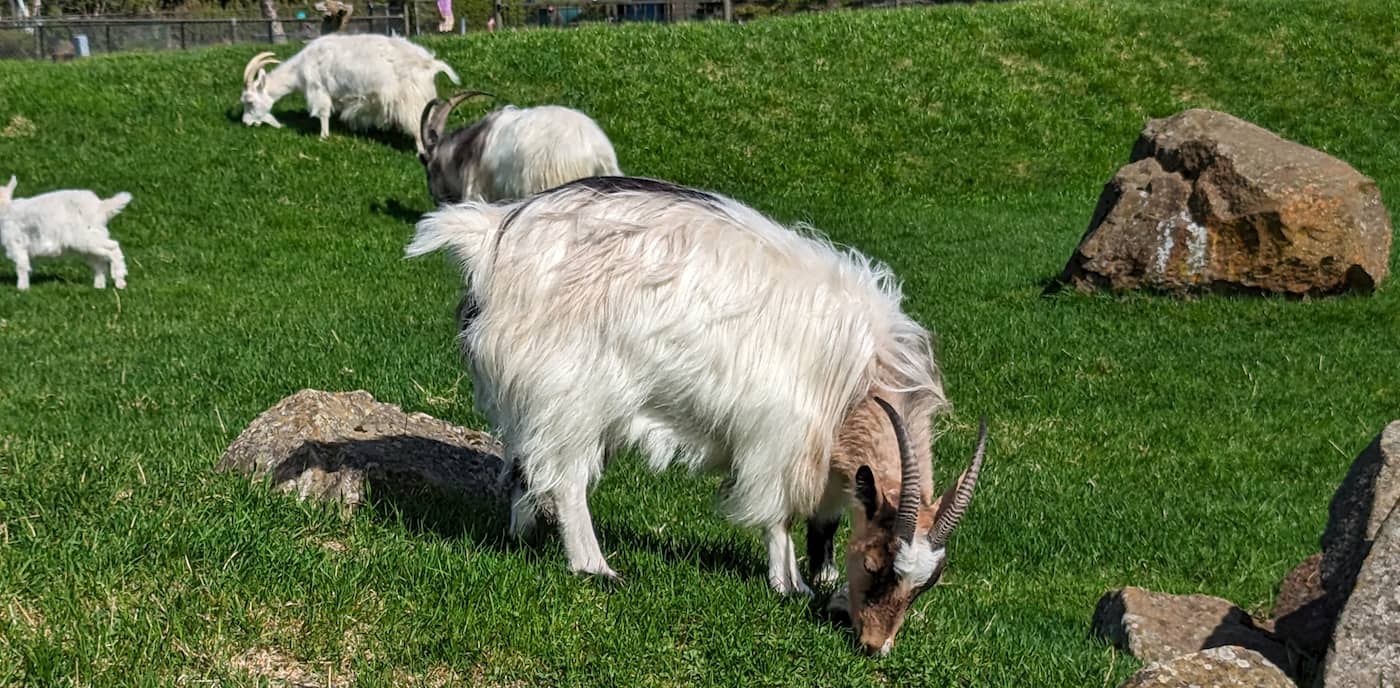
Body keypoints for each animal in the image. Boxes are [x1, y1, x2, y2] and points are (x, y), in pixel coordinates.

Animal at [0, 176, 131, 292]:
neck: (5, 209)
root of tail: (101, 207)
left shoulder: (16, 244)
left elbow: (21, 266)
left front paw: (22, 288)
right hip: (91, 241)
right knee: (99, 261)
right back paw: (99, 286)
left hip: (86, 238)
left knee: (113, 247)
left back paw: (120, 281)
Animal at [239, 32, 459, 153]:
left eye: (249, 101)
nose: (245, 123)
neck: (301, 65)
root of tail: (429, 63)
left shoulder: (319, 89)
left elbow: (323, 113)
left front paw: (323, 136)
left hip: (411, 100)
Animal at [408, 175, 991, 655]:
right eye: (875, 565)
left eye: (924, 587)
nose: (875, 647)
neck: (860, 373)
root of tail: (493, 237)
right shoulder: (780, 436)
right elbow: (778, 515)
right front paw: (790, 585)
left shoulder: (824, 454)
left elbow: (823, 520)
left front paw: (823, 579)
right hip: (570, 390)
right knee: (565, 478)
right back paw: (596, 567)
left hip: (531, 393)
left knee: (524, 465)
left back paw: (523, 536)